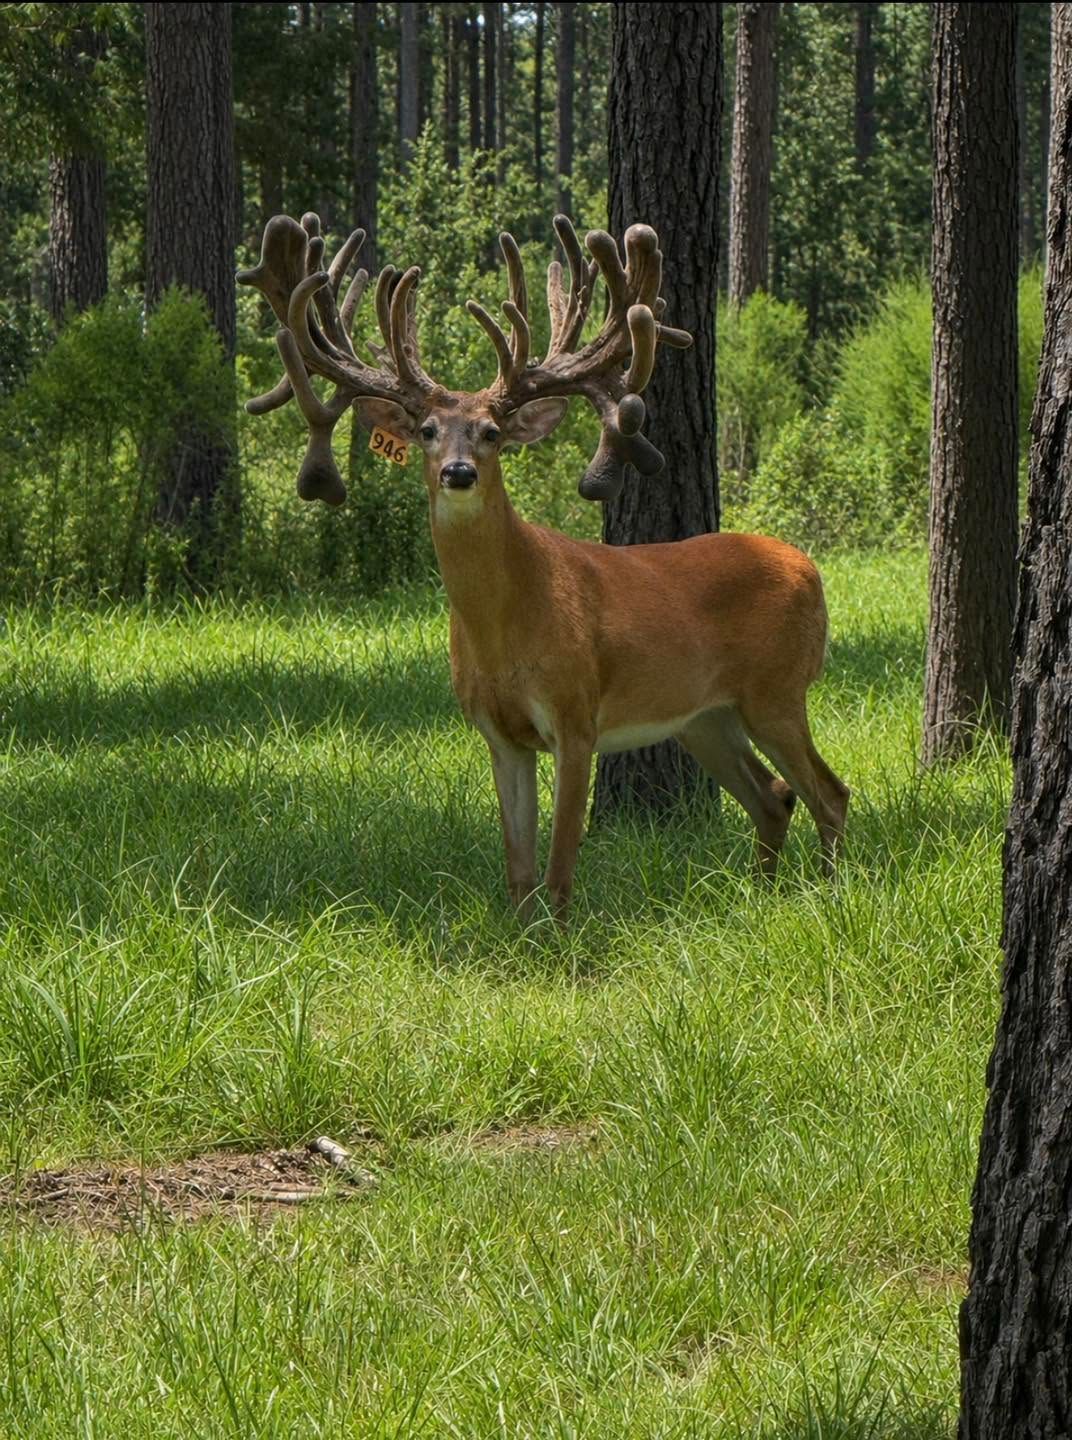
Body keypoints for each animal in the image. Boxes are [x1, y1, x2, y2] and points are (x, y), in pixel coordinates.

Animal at [237, 211, 849, 921]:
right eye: (427, 431)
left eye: (491, 432)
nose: (458, 473)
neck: (506, 626)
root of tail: (809, 567)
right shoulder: (499, 733)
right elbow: (518, 868)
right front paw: (519, 933)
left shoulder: (575, 714)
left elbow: (559, 866)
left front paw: (559, 935)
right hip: (705, 717)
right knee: (774, 796)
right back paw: (765, 896)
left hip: (777, 689)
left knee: (830, 793)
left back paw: (829, 894)